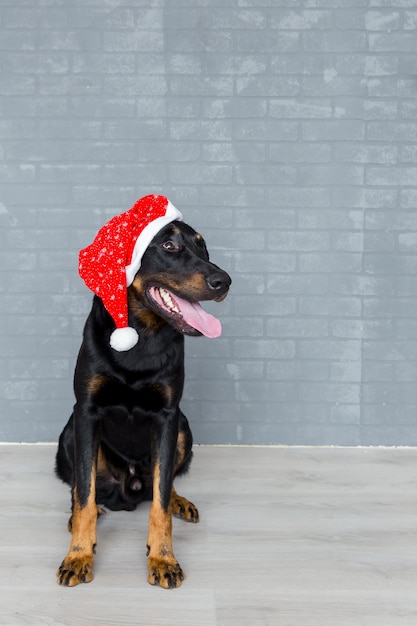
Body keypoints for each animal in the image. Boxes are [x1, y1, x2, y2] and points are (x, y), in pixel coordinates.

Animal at [54, 195, 231, 584]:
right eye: (168, 246)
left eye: (202, 246)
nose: (224, 281)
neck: (141, 335)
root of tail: (129, 488)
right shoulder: (86, 411)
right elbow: (85, 494)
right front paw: (78, 555)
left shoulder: (167, 416)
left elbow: (160, 502)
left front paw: (163, 558)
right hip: (70, 432)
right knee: (80, 487)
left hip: (183, 428)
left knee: (161, 484)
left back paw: (180, 500)